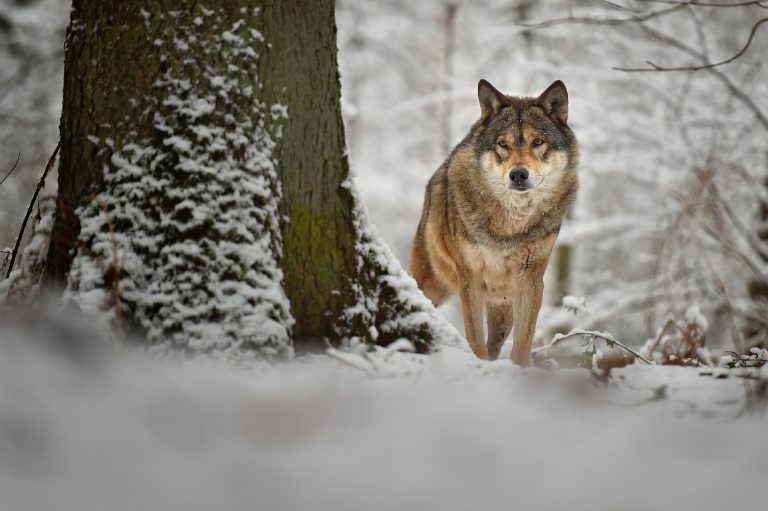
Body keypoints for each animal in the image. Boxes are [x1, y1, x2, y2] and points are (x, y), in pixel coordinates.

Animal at [408, 80, 576, 366]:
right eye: (502, 144)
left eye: (538, 141)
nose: (518, 174)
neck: (510, 225)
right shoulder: (469, 279)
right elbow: (475, 340)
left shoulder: (531, 280)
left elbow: (522, 344)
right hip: (430, 283)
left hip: (503, 305)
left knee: (496, 342)